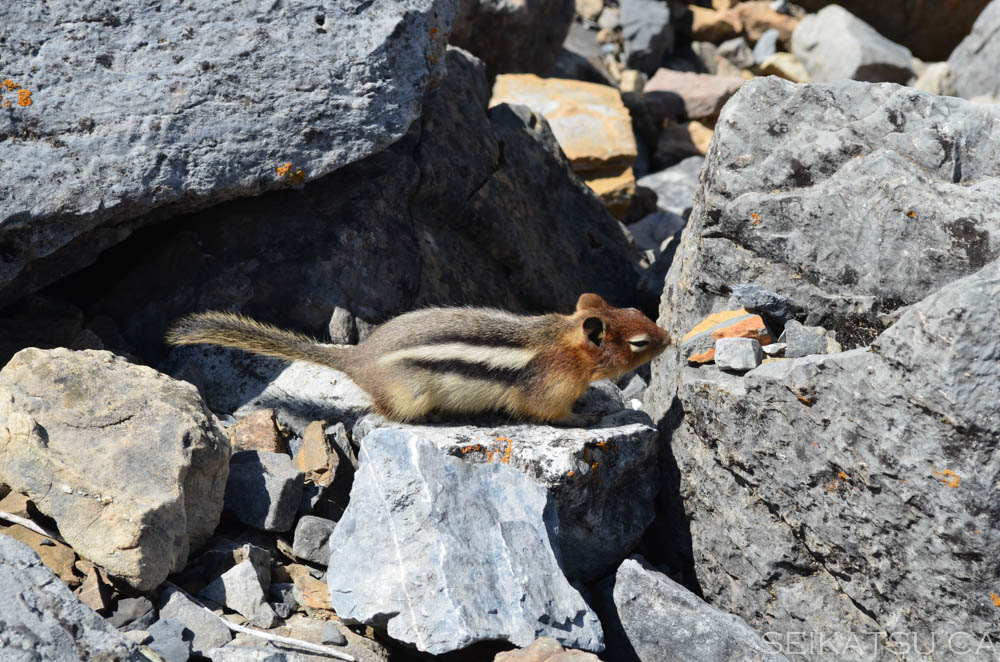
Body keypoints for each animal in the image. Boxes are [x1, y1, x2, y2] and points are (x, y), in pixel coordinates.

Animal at [166, 296, 672, 426]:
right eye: (640, 342)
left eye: (637, 311)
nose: (670, 337)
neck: (562, 341)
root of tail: (360, 358)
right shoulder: (548, 388)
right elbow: (549, 413)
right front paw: (584, 419)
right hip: (408, 395)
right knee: (382, 411)